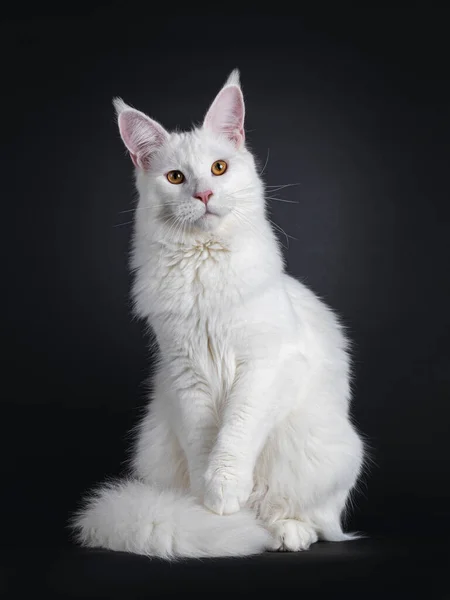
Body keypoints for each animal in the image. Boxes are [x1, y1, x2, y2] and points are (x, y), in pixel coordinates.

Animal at [72, 69, 364, 556]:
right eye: (175, 177)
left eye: (219, 168)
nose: (204, 193)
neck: (202, 265)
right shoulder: (186, 373)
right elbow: (204, 442)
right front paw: (206, 508)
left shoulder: (265, 366)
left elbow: (236, 434)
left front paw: (225, 493)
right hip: (155, 441)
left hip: (329, 451)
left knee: (313, 519)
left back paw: (285, 531)